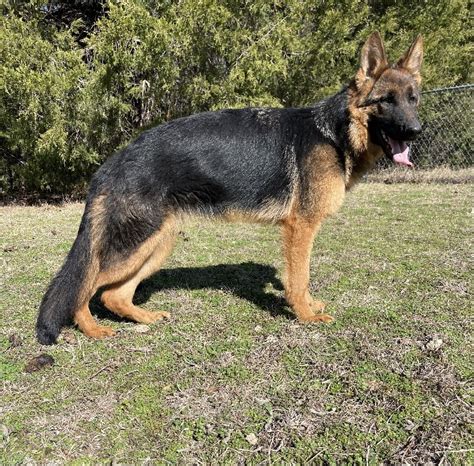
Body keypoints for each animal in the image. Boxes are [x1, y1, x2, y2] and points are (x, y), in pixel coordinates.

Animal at [36, 32, 422, 344]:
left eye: (413, 99)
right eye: (386, 100)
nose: (416, 131)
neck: (335, 133)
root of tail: (112, 163)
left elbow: (300, 278)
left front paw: (309, 307)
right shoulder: (301, 228)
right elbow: (299, 278)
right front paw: (306, 315)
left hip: (158, 243)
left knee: (112, 295)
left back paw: (144, 317)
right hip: (134, 245)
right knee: (84, 286)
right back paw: (92, 329)